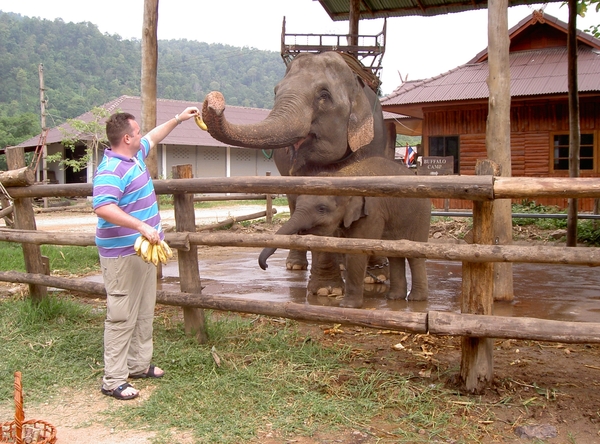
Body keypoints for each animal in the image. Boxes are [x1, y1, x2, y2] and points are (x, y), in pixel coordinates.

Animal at [258, 157, 432, 308]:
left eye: (322, 209)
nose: (265, 266)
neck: (343, 176)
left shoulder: (372, 212)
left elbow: (357, 250)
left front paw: (347, 306)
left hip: (421, 216)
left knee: (415, 254)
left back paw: (416, 299)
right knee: (395, 254)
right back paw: (394, 298)